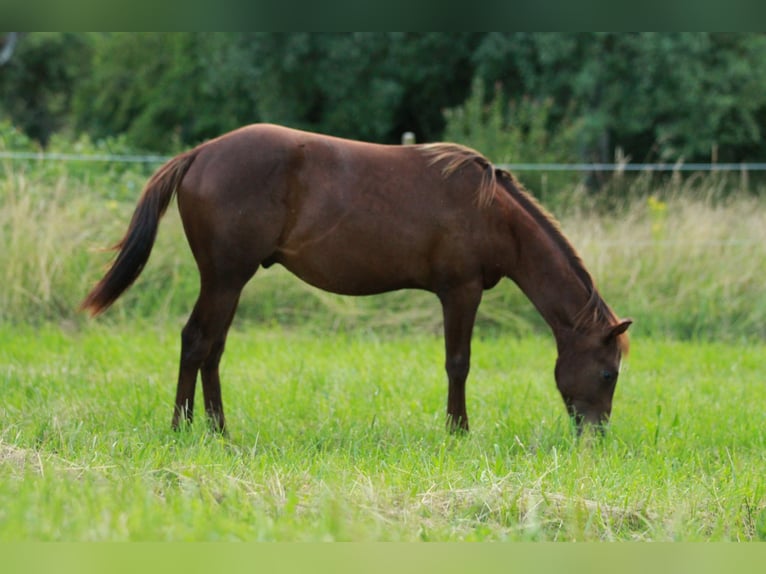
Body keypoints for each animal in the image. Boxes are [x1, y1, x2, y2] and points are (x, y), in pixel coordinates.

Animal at [81, 122, 632, 436]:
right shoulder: (461, 291)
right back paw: (182, 428)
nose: (596, 435)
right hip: (225, 277)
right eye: (609, 373)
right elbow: (458, 364)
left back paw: (217, 430)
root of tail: (200, 154)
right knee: (197, 341)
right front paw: (458, 432)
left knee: (211, 348)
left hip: (228, 282)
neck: (492, 213)